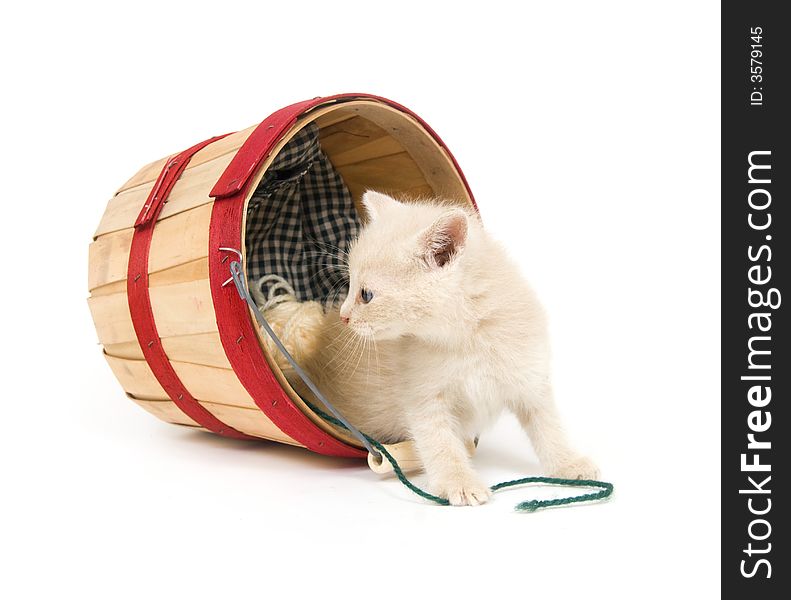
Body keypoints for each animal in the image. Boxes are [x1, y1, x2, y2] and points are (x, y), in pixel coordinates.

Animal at [262, 192, 600, 506]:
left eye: (366, 294)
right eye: (350, 286)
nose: (344, 316)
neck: (469, 338)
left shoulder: (530, 377)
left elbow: (549, 426)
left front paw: (569, 464)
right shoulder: (423, 397)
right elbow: (440, 443)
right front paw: (458, 482)